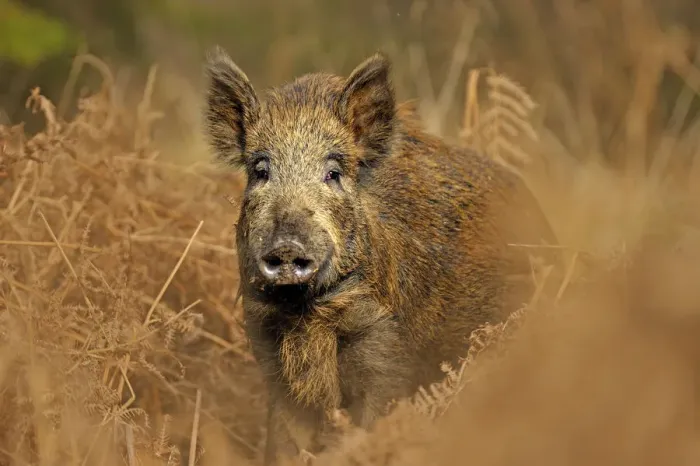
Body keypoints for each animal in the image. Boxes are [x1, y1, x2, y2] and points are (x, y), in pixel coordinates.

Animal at [203, 45, 553, 464]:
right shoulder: (267, 347)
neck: (308, 312)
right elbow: (285, 443)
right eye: (260, 170)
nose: (287, 246)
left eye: (333, 173)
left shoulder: (386, 347)